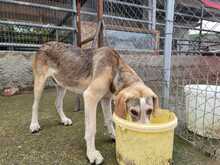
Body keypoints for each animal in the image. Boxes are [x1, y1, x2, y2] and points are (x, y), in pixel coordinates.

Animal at [29, 41, 160, 164]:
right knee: (35, 105)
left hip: (62, 85)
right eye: (133, 112)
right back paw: (34, 125)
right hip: (40, 83)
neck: (115, 68)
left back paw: (64, 119)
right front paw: (91, 154)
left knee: (57, 103)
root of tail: (44, 44)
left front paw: (114, 136)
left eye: (150, 111)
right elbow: (91, 129)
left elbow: (109, 119)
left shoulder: (106, 99)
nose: (145, 138)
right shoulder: (90, 97)